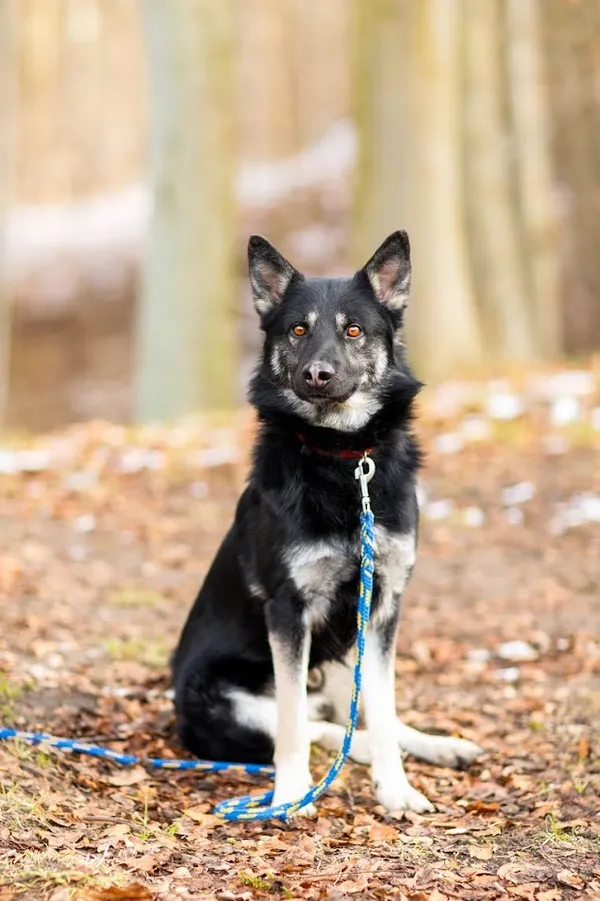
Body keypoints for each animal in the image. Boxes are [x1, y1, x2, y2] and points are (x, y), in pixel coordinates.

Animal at [170, 232, 482, 816]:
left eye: (353, 330)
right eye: (298, 329)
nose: (317, 373)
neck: (342, 457)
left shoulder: (382, 606)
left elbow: (382, 708)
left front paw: (396, 788)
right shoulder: (288, 612)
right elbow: (293, 723)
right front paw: (292, 792)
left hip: (345, 653)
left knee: (363, 717)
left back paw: (436, 744)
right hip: (223, 695)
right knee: (315, 726)